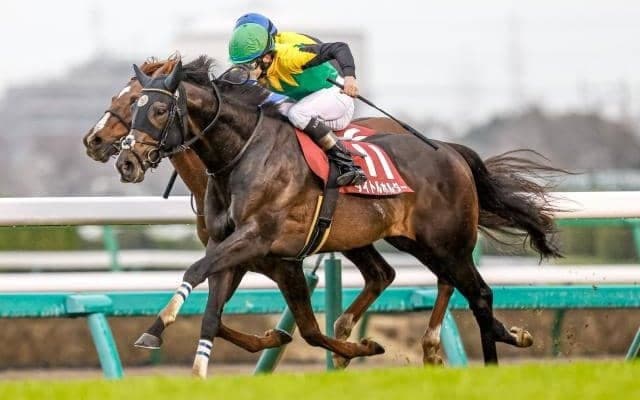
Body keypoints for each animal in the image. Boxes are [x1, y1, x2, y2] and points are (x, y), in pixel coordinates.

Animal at [110, 56, 562, 377]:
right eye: (132, 105)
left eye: (155, 109)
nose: (125, 161)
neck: (240, 155)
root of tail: (450, 151)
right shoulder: (237, 249)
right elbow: (215, 314)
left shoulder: (261, 241)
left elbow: (198, 274)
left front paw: (158, 327)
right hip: (411, 241)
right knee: (417, 279)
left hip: (447, 242)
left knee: (477, 292)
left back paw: (485, 360)